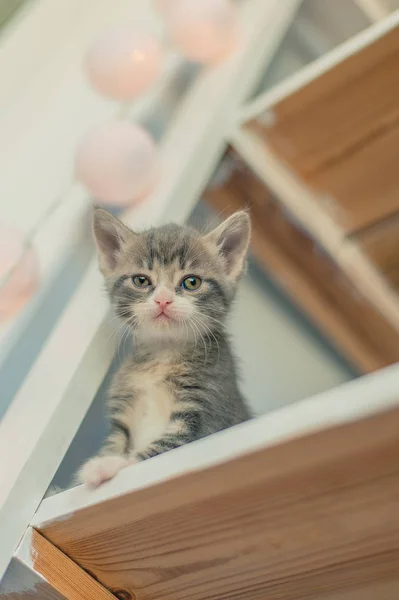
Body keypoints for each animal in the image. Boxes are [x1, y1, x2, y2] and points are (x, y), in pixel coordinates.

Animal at [77, 207, 252, 488]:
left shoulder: (207, 416)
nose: (163, 299)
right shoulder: (123, 414)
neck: (163, 354)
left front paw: (107, 465)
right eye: (141, 280)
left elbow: (157, 451)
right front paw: (106, 460)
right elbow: (116, 443)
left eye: (191, 282)